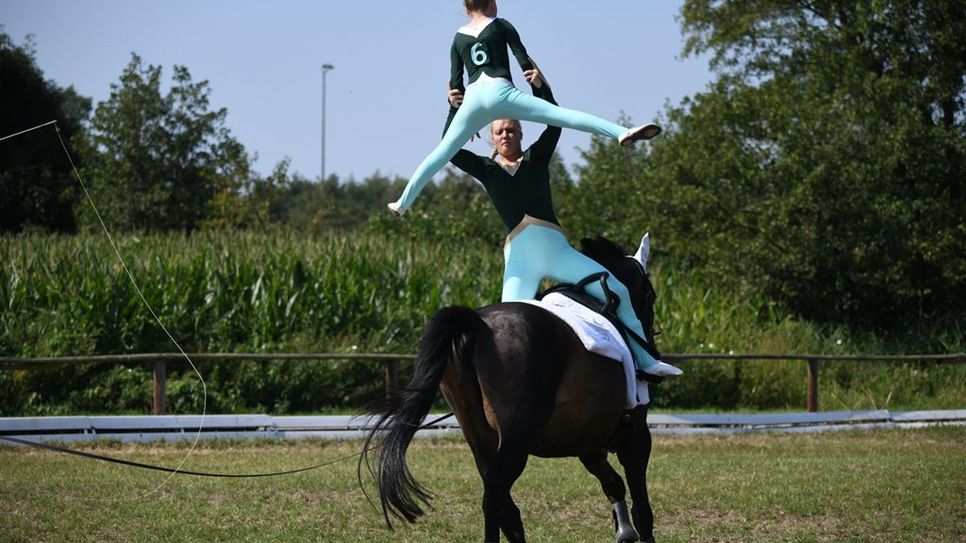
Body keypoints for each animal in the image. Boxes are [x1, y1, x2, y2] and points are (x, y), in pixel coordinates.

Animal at [364, 236, 664, 543]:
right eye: (650, 294)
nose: (651, 341)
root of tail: (477, 323)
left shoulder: (587, 444)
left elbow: (613, 483)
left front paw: (624, 531)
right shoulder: (636, 434)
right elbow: (642, 507)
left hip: (479, 437)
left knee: (505, 506)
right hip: (517, 435)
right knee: (495, 495)